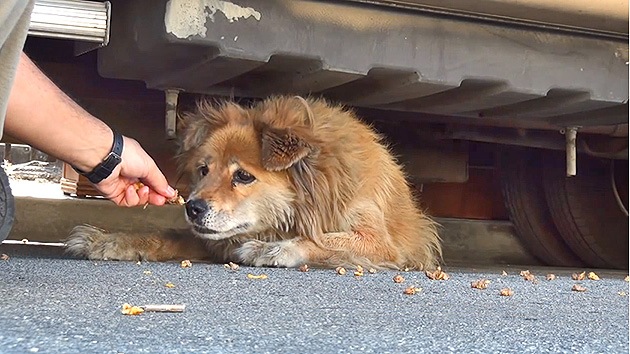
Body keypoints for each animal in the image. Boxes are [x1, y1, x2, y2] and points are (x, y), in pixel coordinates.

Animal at [66, 95, 442, 270]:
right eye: (203, 170)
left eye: (243, 175)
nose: (192, 208)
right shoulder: (214, 239)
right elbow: (166, 235)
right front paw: (110, 239)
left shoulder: (380, 243)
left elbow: (322, 239)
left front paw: (272, 248)